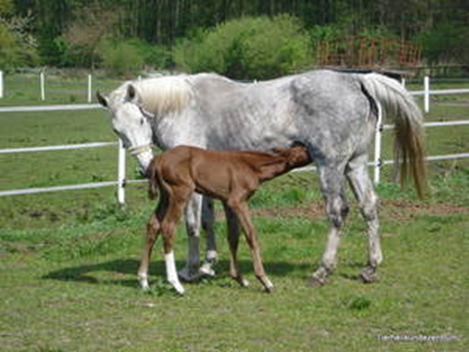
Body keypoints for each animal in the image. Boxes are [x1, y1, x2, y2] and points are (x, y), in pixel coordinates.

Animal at [136, 144, 310, 292]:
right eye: (305, 150)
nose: (315, 152)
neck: (252, 166)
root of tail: (158, 159)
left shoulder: (227, 203)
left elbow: (233, 237)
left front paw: (239, 278)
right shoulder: (238, 201)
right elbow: (251, 235)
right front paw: (265, 281)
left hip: (166, 197)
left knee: (153, 225)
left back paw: (143, 280)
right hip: (180, 193)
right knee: (168, 227)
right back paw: (176, 285)